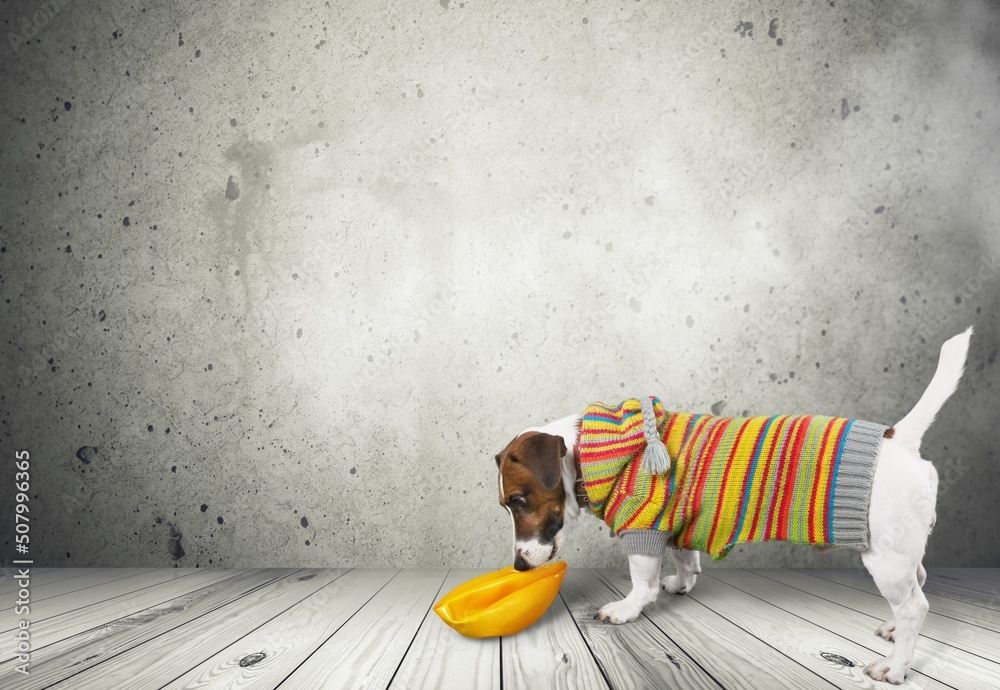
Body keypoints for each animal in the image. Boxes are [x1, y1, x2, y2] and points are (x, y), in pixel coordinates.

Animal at [496, 328, 972, 684]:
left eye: (519, 501)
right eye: (507, 504)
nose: (518, 566)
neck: (593, 452)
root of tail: (897, 438)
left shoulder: (644, 527)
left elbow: (642, 581)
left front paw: (628, 608)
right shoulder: (675, 524)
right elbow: (685, 558)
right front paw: (681, 583)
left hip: (885, 558)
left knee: (915, 607)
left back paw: (895, 667)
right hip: (903, 550)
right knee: (918, 584)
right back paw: (893, 631)